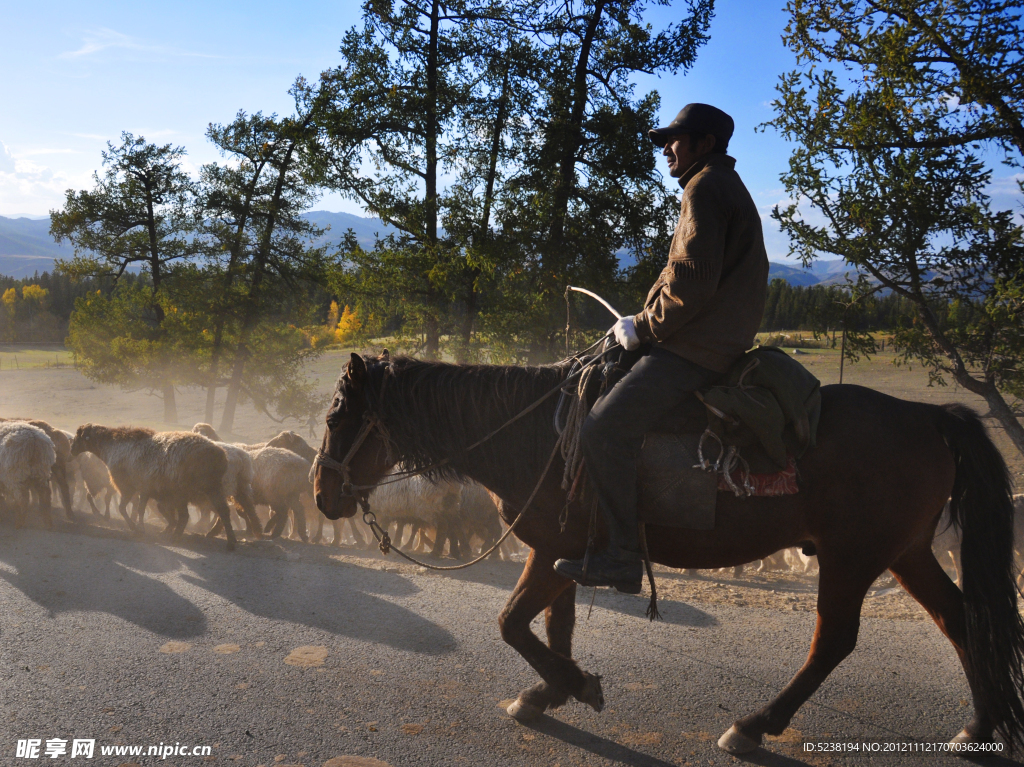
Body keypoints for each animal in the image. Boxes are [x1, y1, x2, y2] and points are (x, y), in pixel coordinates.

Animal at [70, 428, 237, 548]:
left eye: (79, 436)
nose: (71, 450)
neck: (111, 445)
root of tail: (219, 454)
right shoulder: (145, 490)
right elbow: (141, 509)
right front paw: (144, 528)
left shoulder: (127, 487)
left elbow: (123, 508)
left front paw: (135, 528)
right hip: (212, 490)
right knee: (223, 510)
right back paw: (229, 541)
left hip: (186, 493)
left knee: (186, 516)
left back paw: (176, 537)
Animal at [311, 352, 1024, 753]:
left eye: (337, 417)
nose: (322, 494)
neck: (532, 434)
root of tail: (928, 416)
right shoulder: (566, 554)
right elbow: (552, 625)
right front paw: (551, 692)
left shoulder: (553, 550)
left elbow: (512, 623)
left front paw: (574, 686)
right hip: (905, 552)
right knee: (961, 620)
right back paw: (979, 726)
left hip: (853, 558)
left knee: (835, 641)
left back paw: (755, 725)